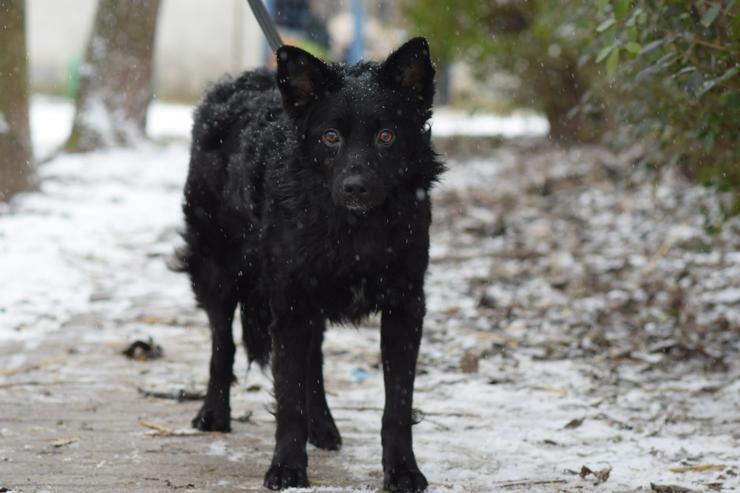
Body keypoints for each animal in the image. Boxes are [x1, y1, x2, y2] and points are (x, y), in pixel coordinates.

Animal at [178, 36, 446, 490]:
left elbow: (396, 405)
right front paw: (287, 467)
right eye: (331, 136)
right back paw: (214, 413)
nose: (355, 187)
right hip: (217, 270)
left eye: (387, 136)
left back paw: (323, 427)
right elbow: (288, 397)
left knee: (313, 362)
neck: (355, 229)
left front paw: (403, 470)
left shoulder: (405, 307)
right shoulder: (290, 305)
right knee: (223, 344)